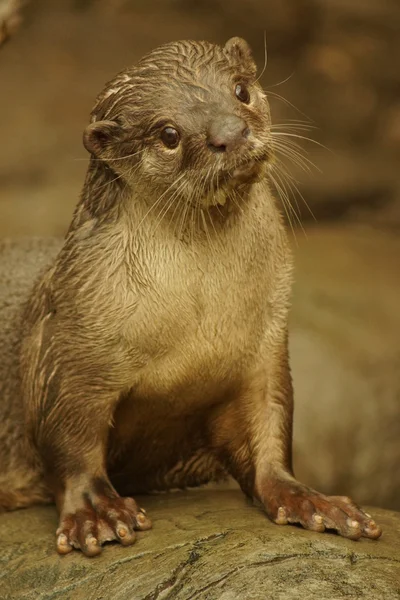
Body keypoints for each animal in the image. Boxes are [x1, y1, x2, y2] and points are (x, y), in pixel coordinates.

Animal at [0, 37, 382, 556]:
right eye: (168, 134)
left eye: (240, 91)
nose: (230, 133)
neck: (195, 325)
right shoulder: (71, 346)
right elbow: (69, 438)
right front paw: (96, 512)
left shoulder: (264, 348)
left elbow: (270, 427)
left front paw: (311, 500)